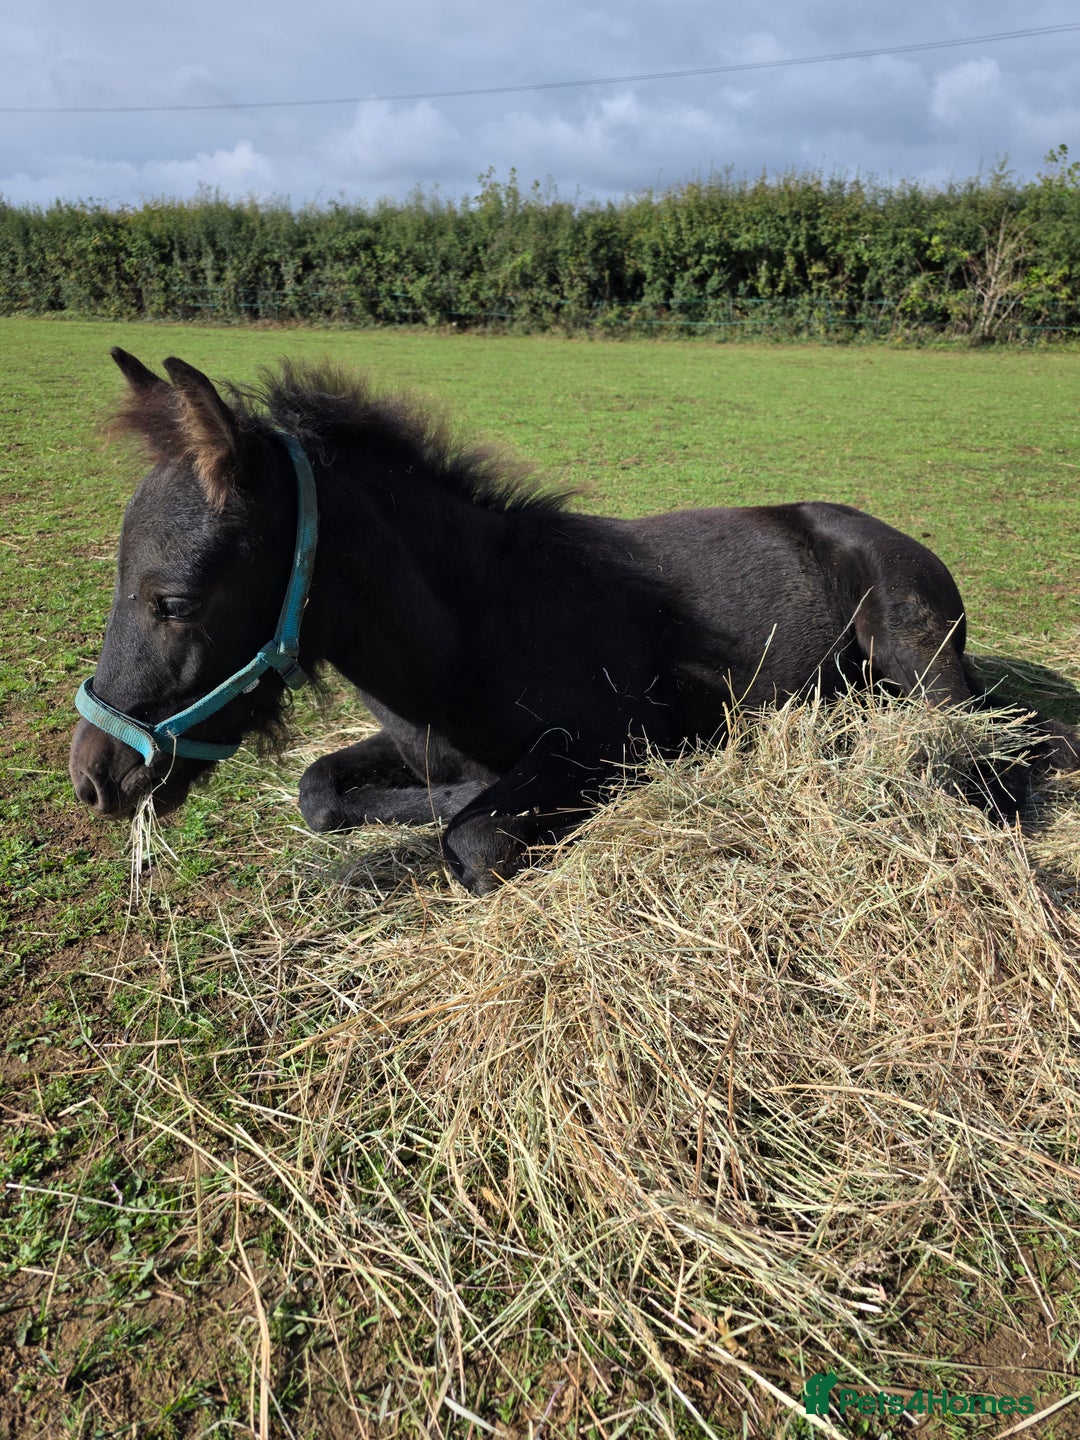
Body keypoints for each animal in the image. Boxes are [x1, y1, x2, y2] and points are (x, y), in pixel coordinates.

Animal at [69, 350, 1077, 894]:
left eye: (173, 600)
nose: (95, 778)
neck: (474, 623)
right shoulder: (419, 742)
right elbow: (321, 792)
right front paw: (420, 802)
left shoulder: (609, 741)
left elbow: (472, 840)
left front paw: (471, 812)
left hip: (917, 657)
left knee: (1001, 751)